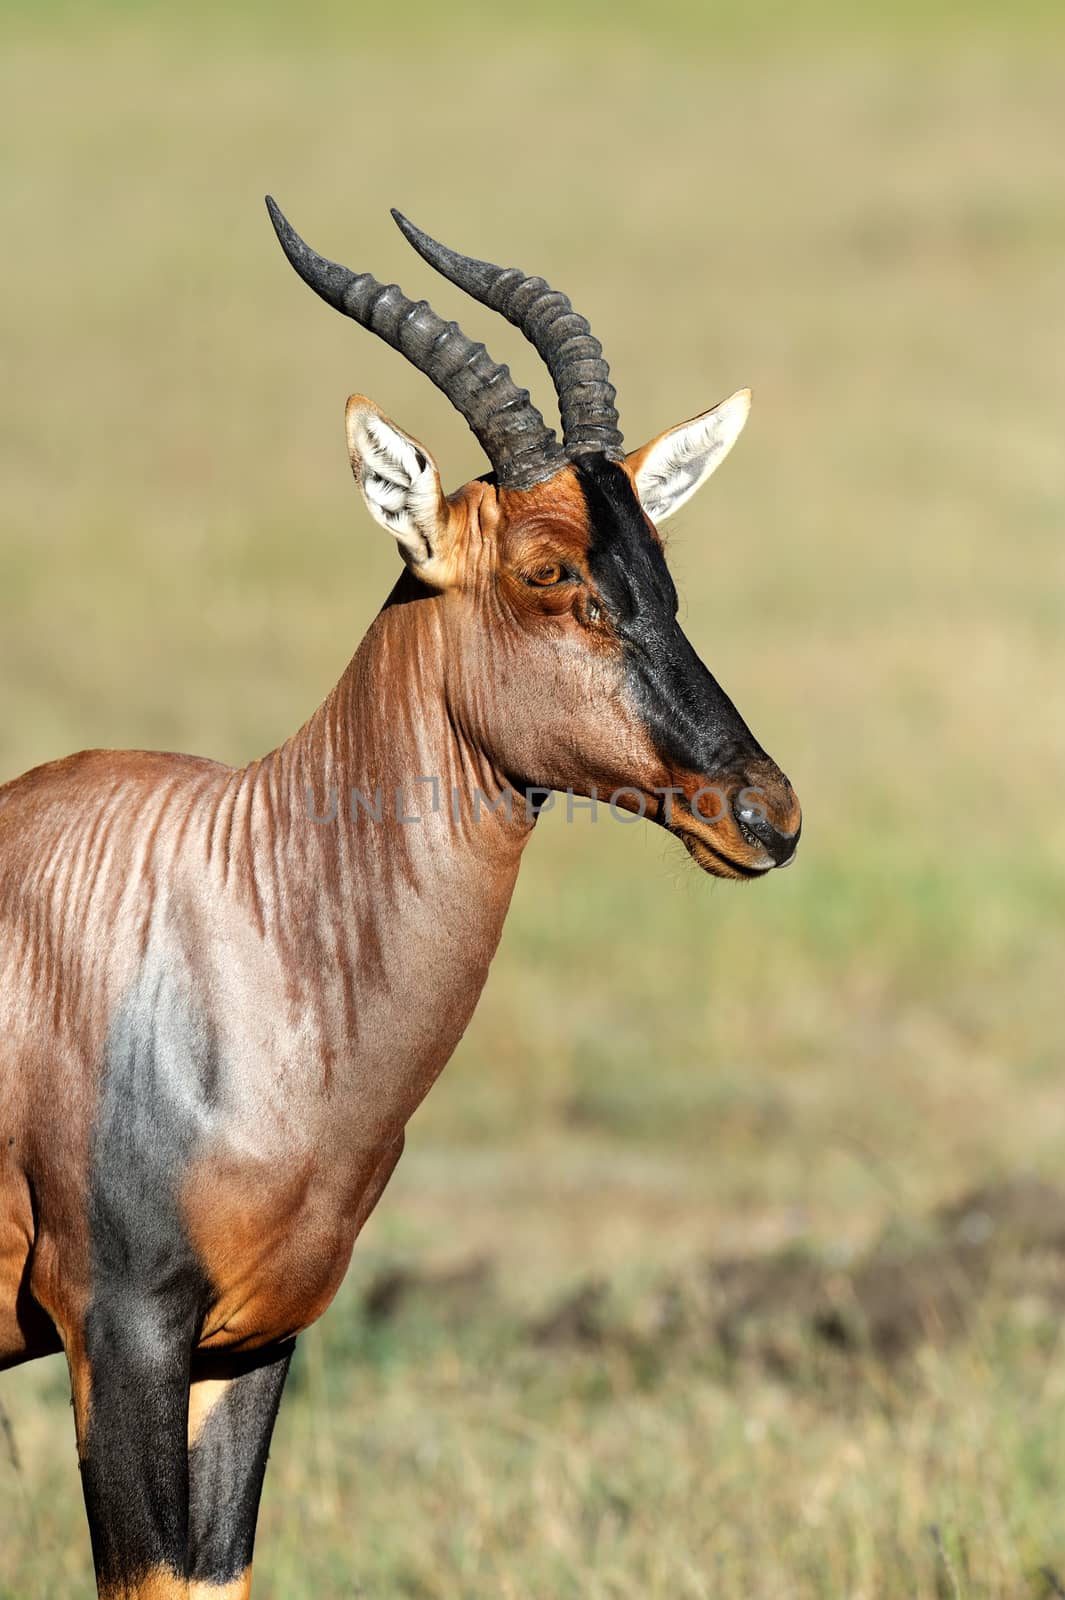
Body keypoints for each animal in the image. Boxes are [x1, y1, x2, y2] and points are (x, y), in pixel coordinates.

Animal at [0, 203, 796, 1600]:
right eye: (548, 570)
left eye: (658, 563)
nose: (763, 811)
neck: (242, 910)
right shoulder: (120, 1331)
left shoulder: (250, 1345)